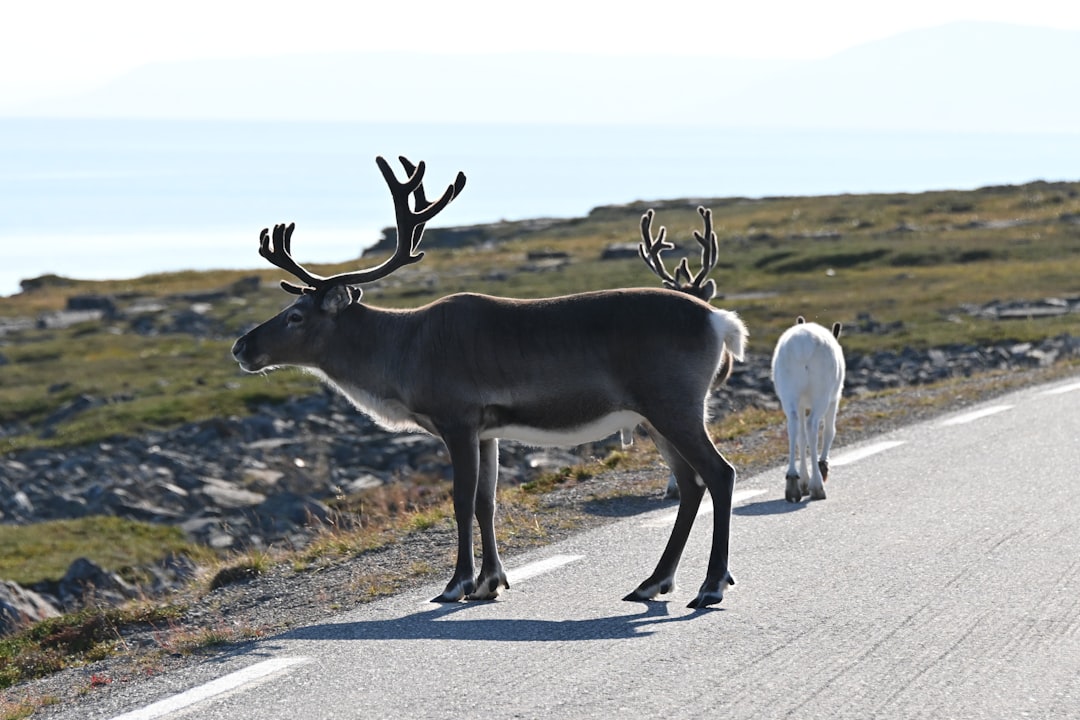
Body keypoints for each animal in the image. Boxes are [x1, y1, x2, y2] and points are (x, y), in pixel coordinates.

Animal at [232, 156, 748, 608]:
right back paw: (653, 582)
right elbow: (486, 502)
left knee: (719, 473)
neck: (401, 351)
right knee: (690, 484)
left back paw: (710, 586)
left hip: (673, 405)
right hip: (655, 417)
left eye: (296, 316)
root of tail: (721, 321)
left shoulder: (456, 420)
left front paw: (457, 583)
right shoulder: (487, 430)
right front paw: (490, 582)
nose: (241, 347)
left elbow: (460, 502)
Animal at [770, 316, 845, 502]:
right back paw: (817, 485)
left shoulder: (801, 404)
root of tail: (802, 346)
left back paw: (792, 482)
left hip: (789, 394)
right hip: (822, 395)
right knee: (812, 426)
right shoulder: (835, 398)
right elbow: (830, 431)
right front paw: (821, 468)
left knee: (793, 427)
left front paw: (803, 482)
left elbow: (801, 438)